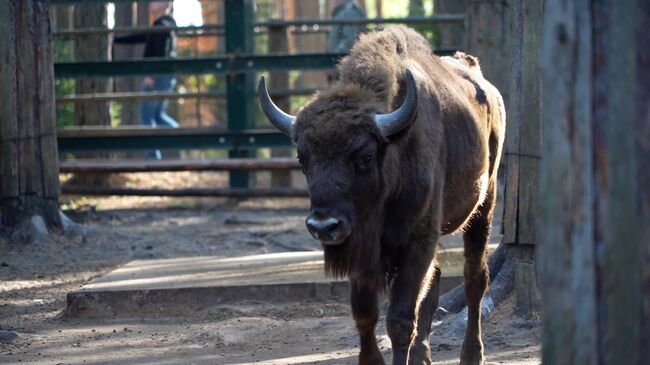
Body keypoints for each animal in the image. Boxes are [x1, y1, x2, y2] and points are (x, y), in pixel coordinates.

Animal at [256, 24, 504, 362]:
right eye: (302, 157)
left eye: (365, 156)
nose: (323, 225)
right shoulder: (362, 247)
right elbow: (365, 314)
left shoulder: (417, 240)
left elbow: (400, 320)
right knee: (436, 281)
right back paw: (423, 356)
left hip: (484, 203)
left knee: (474, 278)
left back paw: (472, 354)